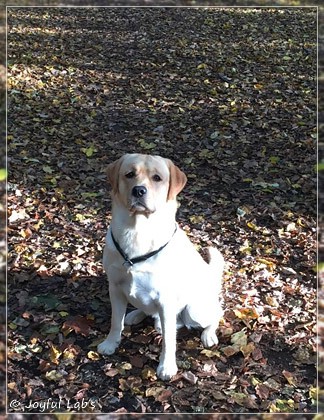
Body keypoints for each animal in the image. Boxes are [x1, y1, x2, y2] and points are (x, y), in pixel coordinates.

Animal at [97, 154, 224, 380]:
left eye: (157, 178)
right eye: (129, 174)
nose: (139, 190)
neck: (137, 231)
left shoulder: (166, 300)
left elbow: (169, 340)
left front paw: (167, 366)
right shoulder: (115, 287)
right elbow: (115, 321)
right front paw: (111, 343)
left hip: (195, 309)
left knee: (216, 313)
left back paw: (209, 334)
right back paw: (136, 314)